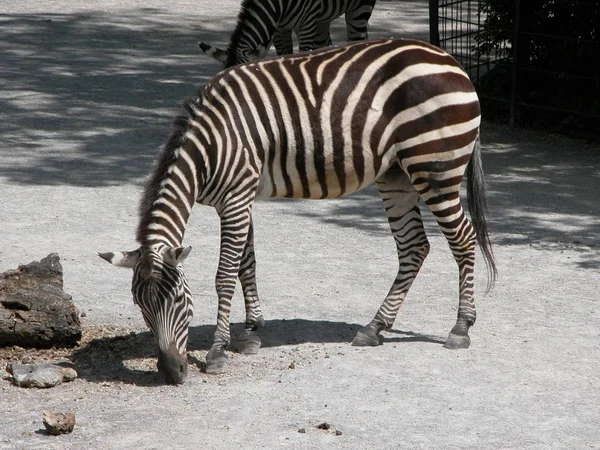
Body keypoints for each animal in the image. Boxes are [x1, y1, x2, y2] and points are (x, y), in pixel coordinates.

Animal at [98, 37, 496, 384]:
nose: (172, 374)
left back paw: (460, 328)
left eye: (179, 299)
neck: (209, 146)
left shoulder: (236, 198)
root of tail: (451, 60)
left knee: (463, 238)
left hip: (435, 167)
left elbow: (224, 275)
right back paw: (374, 328)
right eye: (140, 306)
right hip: (396, 174)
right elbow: (246, 265)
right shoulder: (240, 198)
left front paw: (217, 352)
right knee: (414, 247)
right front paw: (252, 333)